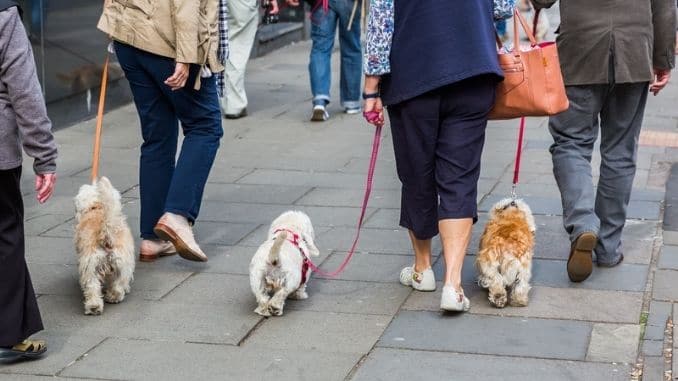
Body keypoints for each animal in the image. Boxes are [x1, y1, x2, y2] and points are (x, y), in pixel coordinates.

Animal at [73, 177, 135, 314]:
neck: (97, 207)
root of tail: (106, 234)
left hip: (91, 266)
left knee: (92, 286)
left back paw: (94, 306)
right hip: (121, 264)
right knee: (118, 284)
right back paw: (113, 297)